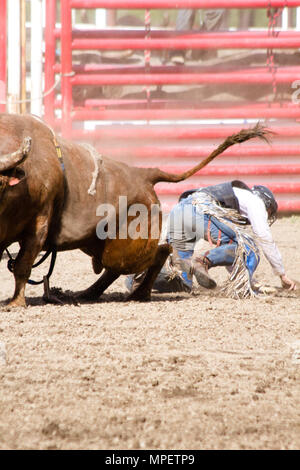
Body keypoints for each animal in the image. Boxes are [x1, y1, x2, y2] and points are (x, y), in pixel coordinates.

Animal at [0, 111, 270, 306]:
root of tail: (144, 174)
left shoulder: (38, 225)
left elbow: (23, 264)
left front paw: (16, 303)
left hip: (127, 247)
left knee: (158, 252)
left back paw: (139, 293)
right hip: (98, 243)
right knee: (114, 268)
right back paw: (89, 293)